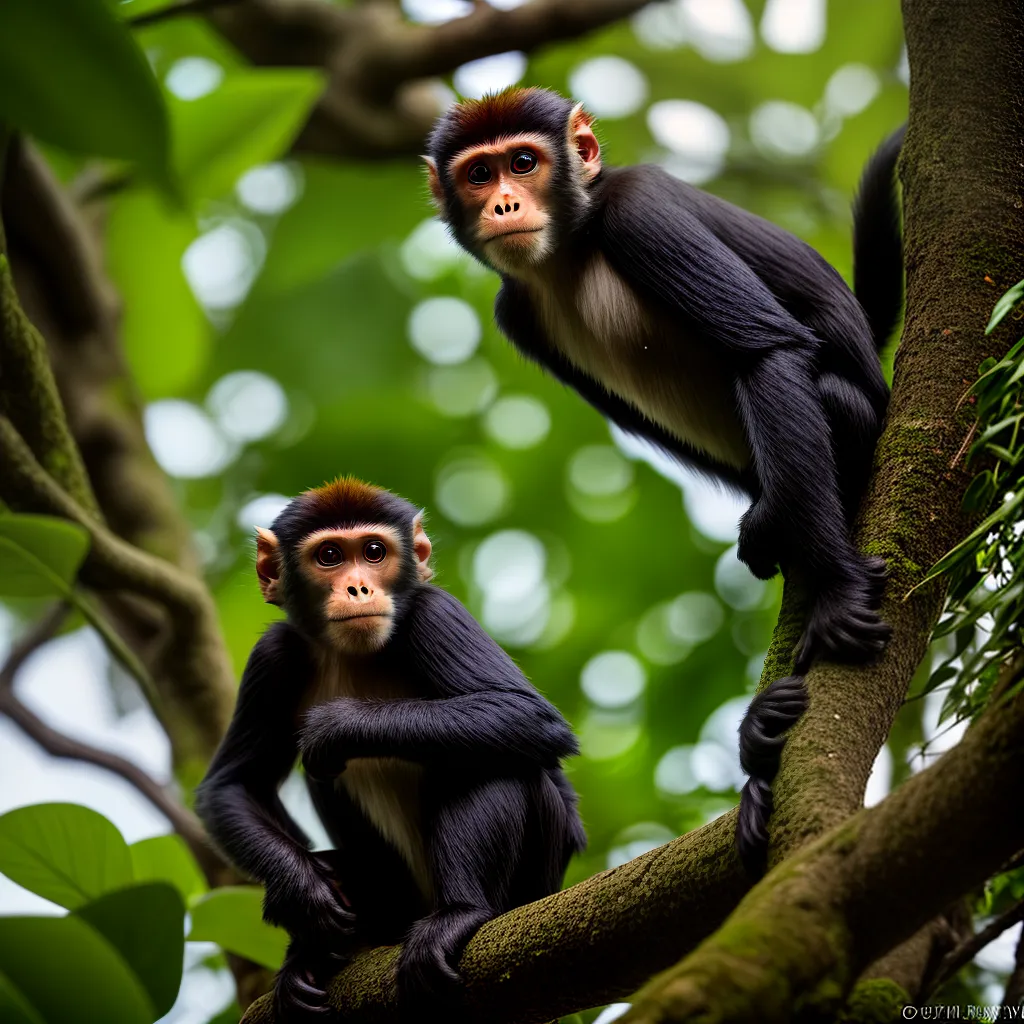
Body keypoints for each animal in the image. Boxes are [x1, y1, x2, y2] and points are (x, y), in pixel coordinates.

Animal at [195, 477, 586, 1020]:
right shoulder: (273, 654)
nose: (358, 587)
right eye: (330, 556)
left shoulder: (435, 612)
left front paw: (336, 727)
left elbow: (529, 716)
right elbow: (233, 784)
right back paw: (307, 956)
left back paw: (459, 914)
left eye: (374, 552)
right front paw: (302, 890)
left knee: (500, 759)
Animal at [423, 87, 904, 873]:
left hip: (855, 416)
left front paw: (838, 593)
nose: (502, 204)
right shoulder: (515, 312)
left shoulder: (641, 211)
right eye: (477, 173)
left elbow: (767, 352)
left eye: (523, 163)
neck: (572, 250)